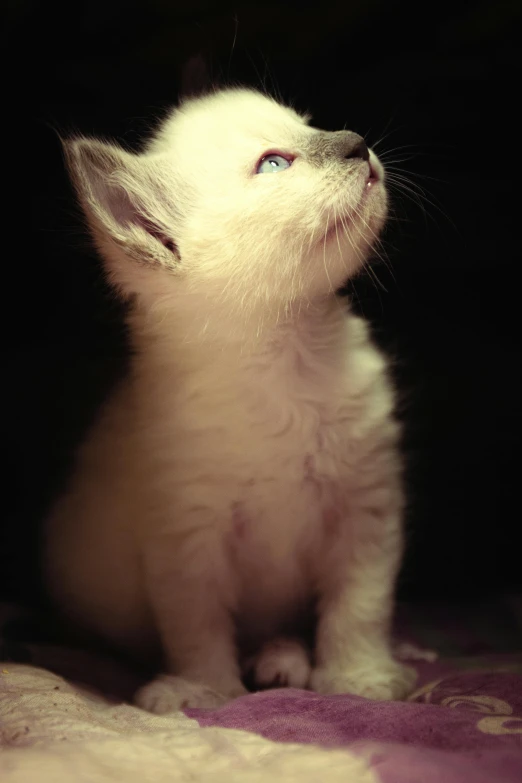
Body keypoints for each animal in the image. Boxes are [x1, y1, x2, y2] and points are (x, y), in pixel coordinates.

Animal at [46, 89, 416, 712]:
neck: (283, 357)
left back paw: (287, 661)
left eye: (310, 123)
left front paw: (358, 678)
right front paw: (203, 690)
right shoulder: (187, 532)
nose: (356, 142)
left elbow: (358, 607)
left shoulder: (365, 506)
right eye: (274, 164)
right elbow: (196, 625)